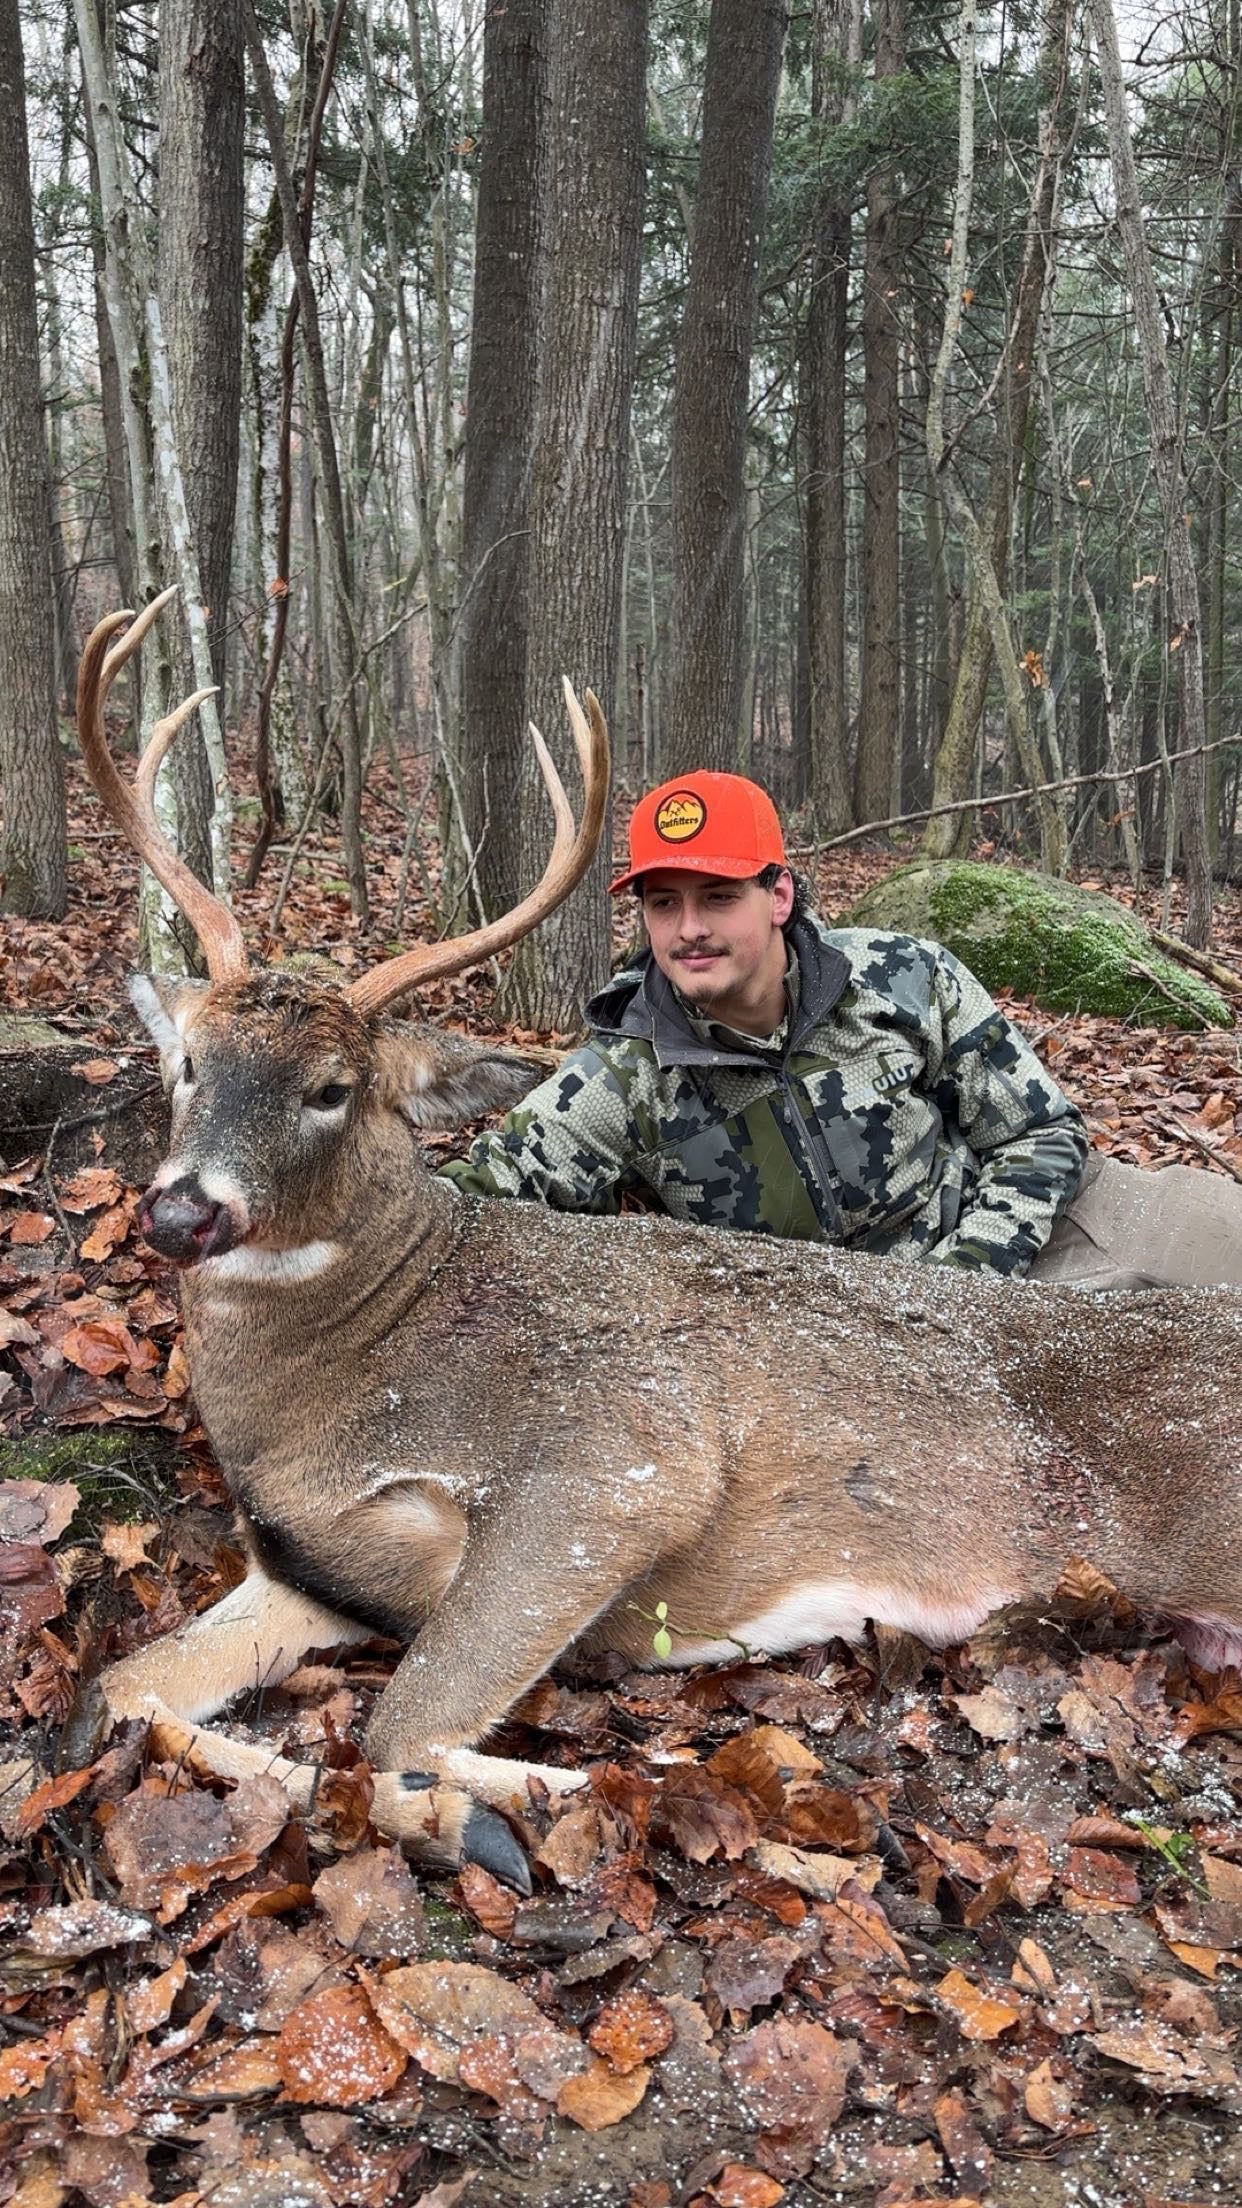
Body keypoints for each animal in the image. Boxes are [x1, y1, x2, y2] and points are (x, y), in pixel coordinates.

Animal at [29, 592, 1242, 1892]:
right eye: (188, 1061)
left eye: (331, 1090)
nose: (182, 1211)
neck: (362, 1360)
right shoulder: (309, 1572)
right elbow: (119, 1693)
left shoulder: (620, 1462)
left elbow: (391, 1731)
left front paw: (565, 1802)